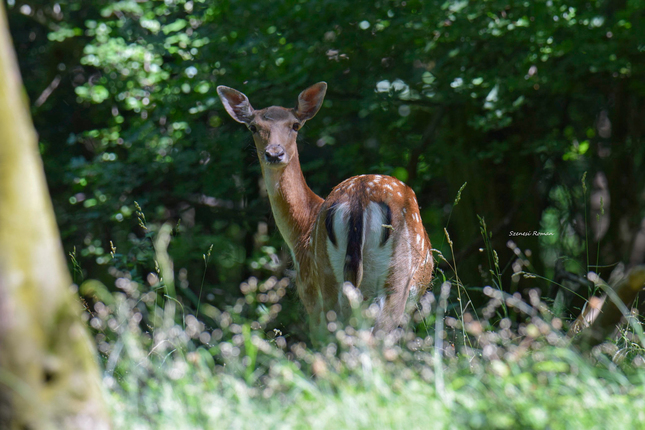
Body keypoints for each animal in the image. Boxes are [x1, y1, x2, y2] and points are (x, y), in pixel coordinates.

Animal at [216, 83, 432, 340]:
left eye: (295, 125)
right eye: (254, 127)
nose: (274, 153)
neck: (302, 229)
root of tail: (358, 200)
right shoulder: (308, 290)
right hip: (386, 283)